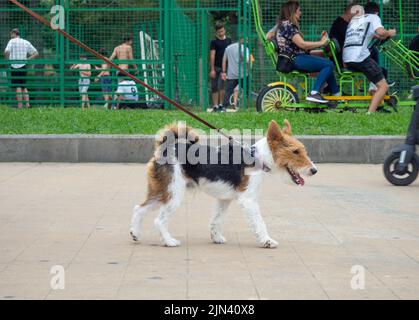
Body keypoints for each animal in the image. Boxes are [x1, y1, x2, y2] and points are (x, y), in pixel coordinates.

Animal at [130, 120, 316, 248]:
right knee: (159, 220)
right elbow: (259, 222)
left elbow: (216, 220)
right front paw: (267, 241)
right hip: (173, 195)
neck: (258, 158)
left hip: (161, 192)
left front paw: (216, 238)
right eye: (295, 151)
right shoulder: (249, 200)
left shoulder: (224, 199)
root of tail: (165, 149)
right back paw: (169, 241)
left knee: (139, 209)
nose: (314, 170)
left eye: (302, 150)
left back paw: (135, 234)